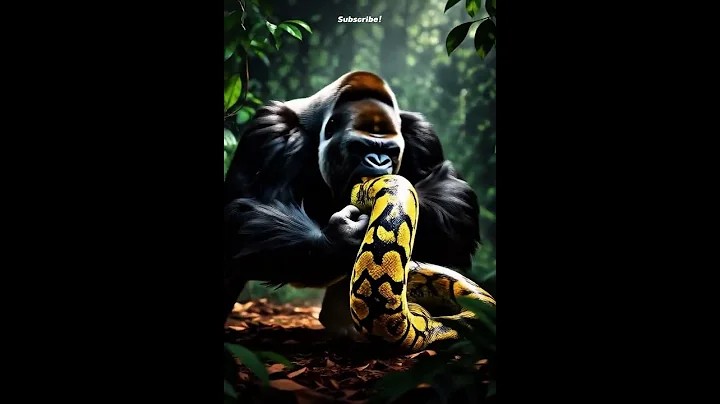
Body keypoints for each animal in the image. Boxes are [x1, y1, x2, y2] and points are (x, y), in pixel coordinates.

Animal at [224, 71, 481, 337]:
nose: (379, 161)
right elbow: (245, 211)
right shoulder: (272, 130)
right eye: (360, 147)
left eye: (391, 150)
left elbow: (456, 210)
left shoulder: (422, 135)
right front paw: (342, 236)